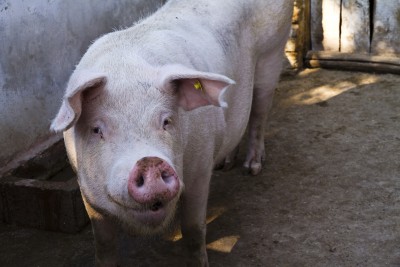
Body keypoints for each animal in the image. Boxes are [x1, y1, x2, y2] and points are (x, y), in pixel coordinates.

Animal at [51, 1, 292, 266]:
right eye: (97, 129)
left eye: (166, 121)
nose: (149, 162)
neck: (126, 68)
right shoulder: (85, 188)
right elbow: (104, 244)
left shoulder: (199, 167)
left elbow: (193, 229)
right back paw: (226, 165)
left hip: (273, 55)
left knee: (259, 113)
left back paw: (252, 168)